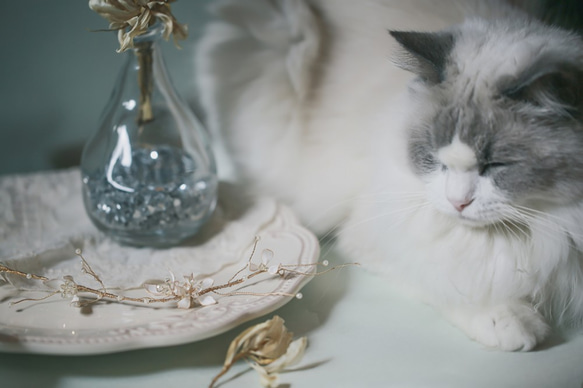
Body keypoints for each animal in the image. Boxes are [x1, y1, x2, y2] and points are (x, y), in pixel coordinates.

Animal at [195, 0, 583, 350]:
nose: (457, 202)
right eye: (432, 157)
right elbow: (449, 281)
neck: (538, 230)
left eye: (495, 166)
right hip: (284, 42)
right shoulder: (381, 238)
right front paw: (510, 322)